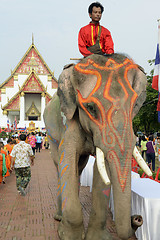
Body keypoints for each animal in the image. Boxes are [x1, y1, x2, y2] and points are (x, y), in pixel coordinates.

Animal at [43, 53, 149, 239]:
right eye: (91, 108)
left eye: (134, 105)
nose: (137, 218)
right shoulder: (70, 122)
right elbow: (67, 159)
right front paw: (67, 235)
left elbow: (102, 169)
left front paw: (97, 237)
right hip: (51, 134)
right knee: (59, 166)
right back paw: (59, 217)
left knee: (80, 167)